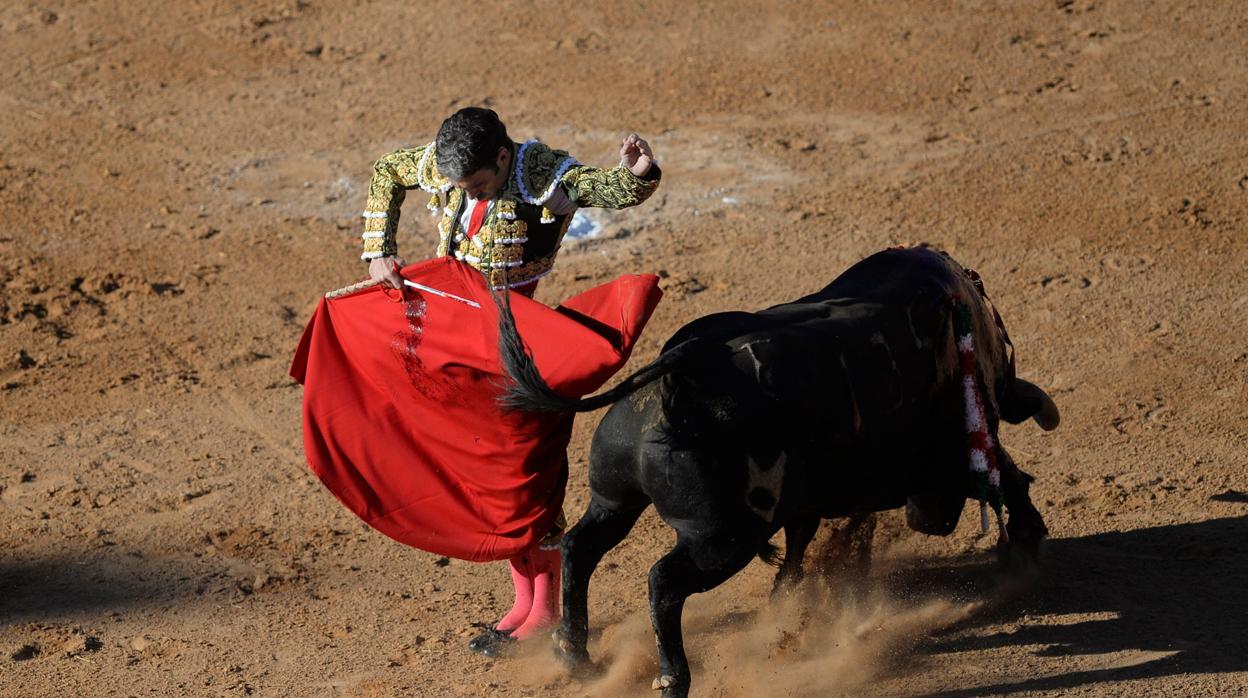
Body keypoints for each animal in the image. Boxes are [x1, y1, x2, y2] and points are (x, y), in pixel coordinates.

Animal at [491, 247, 1058, 698]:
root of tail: (682, 368)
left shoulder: (804, 496)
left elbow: (800, 538)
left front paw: (786, 600)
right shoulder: (957, 451)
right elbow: (1010, 477)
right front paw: (1028, 543)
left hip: (615, 499)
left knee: (580, 547)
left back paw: (573, 653)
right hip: (722, 538)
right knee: (663, 581)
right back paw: (672, 678)